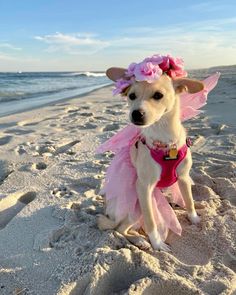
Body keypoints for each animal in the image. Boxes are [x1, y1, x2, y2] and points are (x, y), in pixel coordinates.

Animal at [97, 56, 204, 252]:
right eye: (131, 96)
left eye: (158, 95)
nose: (136, 114)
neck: (165, 141)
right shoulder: (144, 187)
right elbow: (151, 221)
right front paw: (157, 243)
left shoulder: (184, 178)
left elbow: (189, 200)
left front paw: (195, 219)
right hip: (135, 208)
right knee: (119, 228)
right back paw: (140, 240)